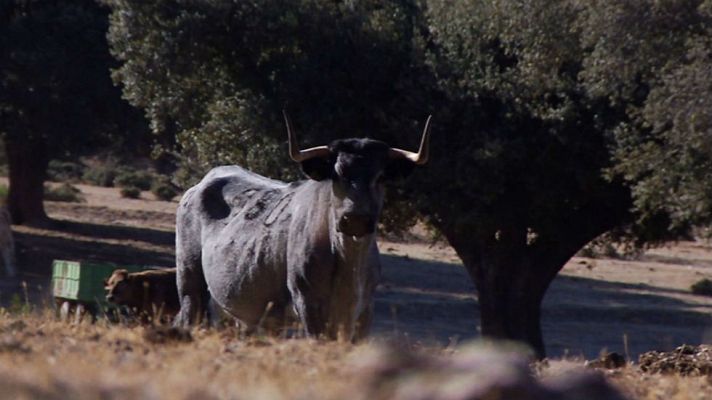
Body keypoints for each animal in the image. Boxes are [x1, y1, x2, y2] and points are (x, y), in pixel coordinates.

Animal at [174, 113, 431, 341]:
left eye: (380, 177)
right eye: (337, 174)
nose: (355, 219)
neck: (348, 264)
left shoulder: (364, 313)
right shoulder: (308, 303)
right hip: (190, 285)